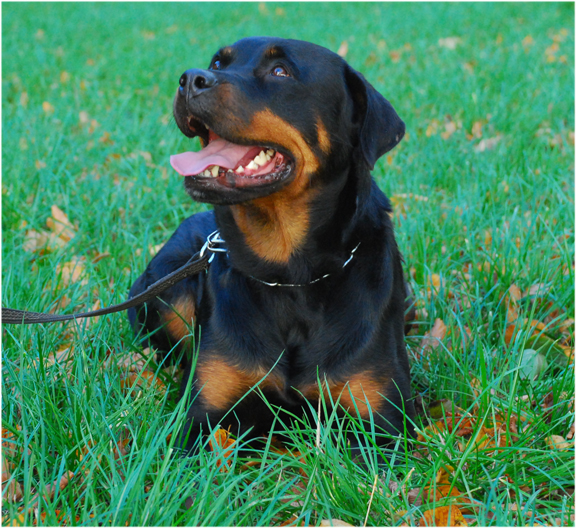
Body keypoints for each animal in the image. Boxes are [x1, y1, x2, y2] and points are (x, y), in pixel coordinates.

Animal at [128, 37, 416, 456]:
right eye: (218, 62)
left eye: (280, 71)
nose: (190, 79)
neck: (289, 275)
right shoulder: (203, 415)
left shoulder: (382, 423)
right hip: (166, 290)